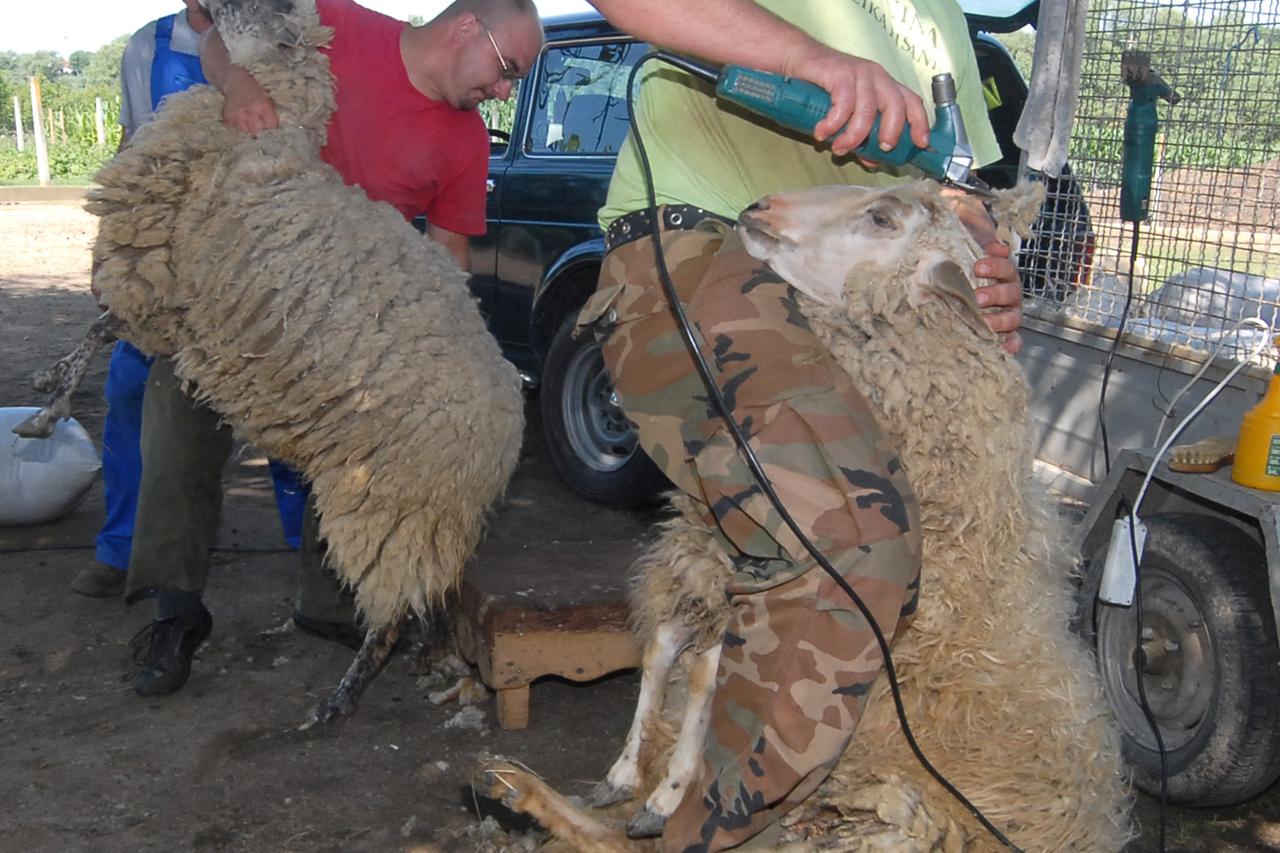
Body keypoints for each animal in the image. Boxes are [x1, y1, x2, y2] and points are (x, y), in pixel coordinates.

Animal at [77, 0, 524, 722]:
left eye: (262, 12)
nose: (210, 5)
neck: (273, 129)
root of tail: (505, 442)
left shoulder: (155, 267)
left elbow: (100, 327)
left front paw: (45, 400)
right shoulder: (174, 294)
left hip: (391, 505)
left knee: (393, 608)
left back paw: (340, 698)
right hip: (408, 506)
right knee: (424, 594)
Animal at [478, 175, 1131, 845]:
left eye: (883, 218)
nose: (760, 208)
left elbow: (708, 670)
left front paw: (671, 789)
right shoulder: (713, 563)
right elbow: (665, 646)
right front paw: (629, 769)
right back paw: (517, 784)